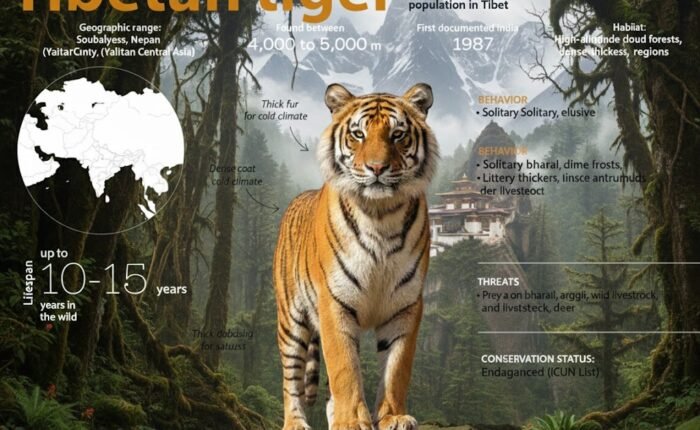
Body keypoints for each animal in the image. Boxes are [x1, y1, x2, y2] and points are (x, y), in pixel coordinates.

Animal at [273, 83, 438, 430]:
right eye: (358, 134)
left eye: (397, 135)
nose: (377, 168)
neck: (381, 215)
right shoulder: (334, 302)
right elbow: (344, 369)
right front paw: (350, 421)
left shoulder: (405, 305)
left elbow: (396, 368)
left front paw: (392, 417)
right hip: (291, 319)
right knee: (290, 379)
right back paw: (295, 423)